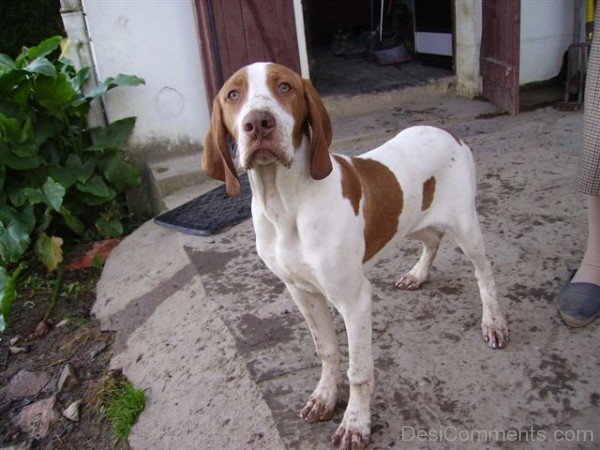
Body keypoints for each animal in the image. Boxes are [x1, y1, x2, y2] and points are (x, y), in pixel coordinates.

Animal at [200, 62, 506, 450]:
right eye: (233, 95)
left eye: (284, 87)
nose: (258, 123)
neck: (285, 204)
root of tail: (448, 130)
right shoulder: (302, 292)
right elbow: (327, 350)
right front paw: (324, 397)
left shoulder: (354, 300)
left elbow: (358, 370)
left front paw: (356, 423)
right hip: (409, 218)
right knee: (433, 238)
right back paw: (418, 273)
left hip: (466, 226)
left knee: (484, 272)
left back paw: (494, 322)